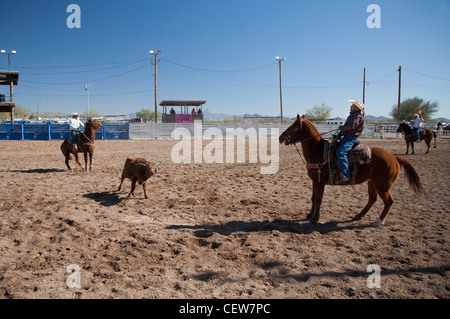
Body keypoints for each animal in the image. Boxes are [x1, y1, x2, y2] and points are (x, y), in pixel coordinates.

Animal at [280, 115, 424, 228]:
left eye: (294, 126)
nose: (281, 137)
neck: (319, 152)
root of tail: (394, 157)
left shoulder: (320, 183)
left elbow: (318, 200)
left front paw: (315, 219)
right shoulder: (315, 181)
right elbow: (313, 198)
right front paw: (310, 215)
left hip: (383, 186)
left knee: (389, 201)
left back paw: (378, 221)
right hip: (372, 183)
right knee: (372, 199)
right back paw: (359, 215)